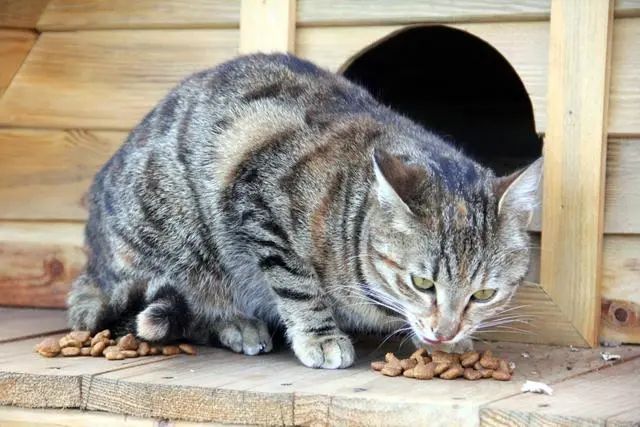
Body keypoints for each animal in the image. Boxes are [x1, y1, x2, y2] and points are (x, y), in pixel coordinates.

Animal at [69, 52, 540, 368]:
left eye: (483, 295)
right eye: (422, 283)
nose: (446, 332)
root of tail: (92, 268)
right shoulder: (259, 196)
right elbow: (297, 284)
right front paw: (321, 337)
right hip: (176, 238)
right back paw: (237, 323)